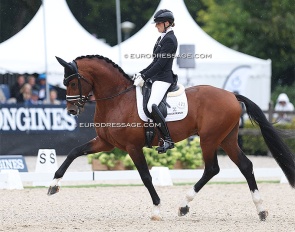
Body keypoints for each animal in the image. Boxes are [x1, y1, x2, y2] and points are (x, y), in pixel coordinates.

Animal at [47, 54, 294, 221]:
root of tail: (232, 95)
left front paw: (156, 209)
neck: (117, 99)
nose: (71, 110)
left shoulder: (132, 147)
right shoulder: (106, 143)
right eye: (64, 83)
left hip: (209, 139)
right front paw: (53, 185)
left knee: (212, 168)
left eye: (72, 82)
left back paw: (184, 205)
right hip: (227, 139)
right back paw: (261, 210)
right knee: (245, 165)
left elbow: (146, 177)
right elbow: (73, 152)